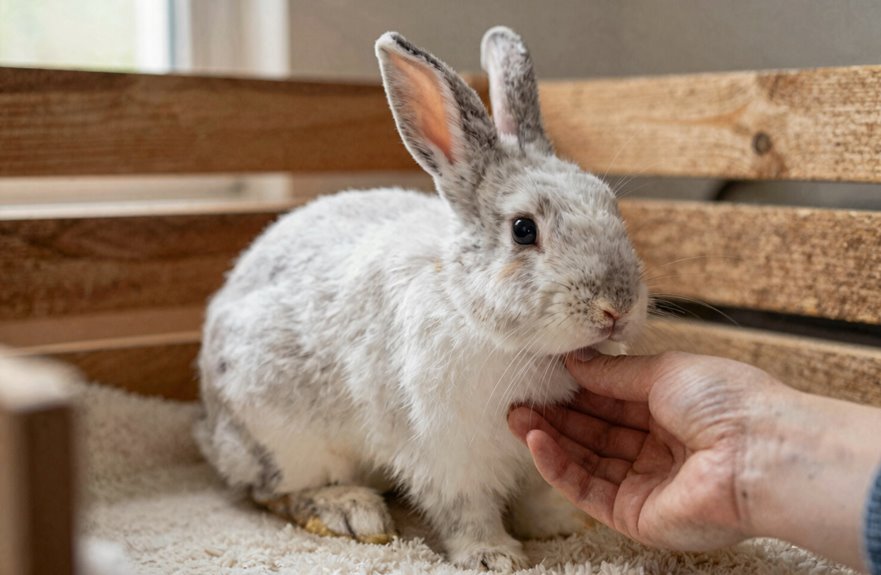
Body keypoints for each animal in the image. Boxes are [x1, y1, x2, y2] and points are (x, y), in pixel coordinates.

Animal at [194, 26, 647, 571]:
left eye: (611, 204)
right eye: (523, 230)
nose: (617, 306)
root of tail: (210, 427)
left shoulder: (534, 457)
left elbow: (538, 496)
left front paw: (563, 525)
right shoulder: (444, 454)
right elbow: (465, 510)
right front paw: (493, 556)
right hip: (285, 440)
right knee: (269, 491)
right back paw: (351, 512)